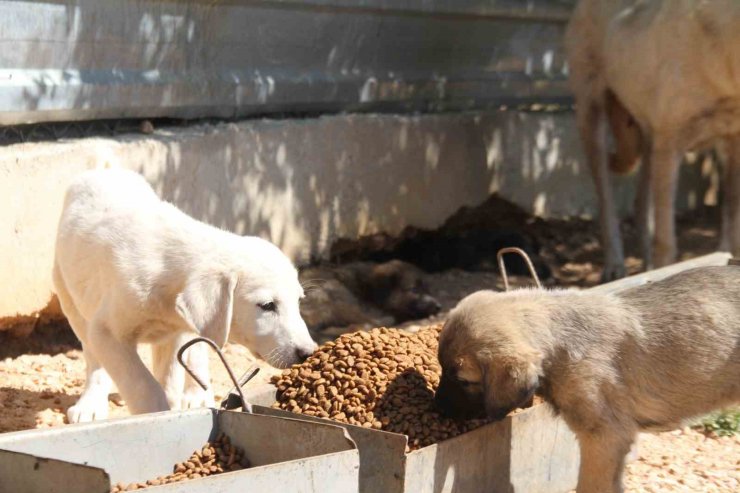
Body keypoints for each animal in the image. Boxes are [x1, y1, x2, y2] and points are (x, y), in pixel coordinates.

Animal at [53, 167, 316, 420]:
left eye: (298, 301)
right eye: (267, 305)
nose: (307, 353)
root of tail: (103, 170)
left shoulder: (180, 327)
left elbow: (173, 374)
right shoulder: (107, 331)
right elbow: (142, 384)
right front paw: (157, 414)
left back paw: (197, 396)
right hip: (70, 298)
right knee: (93, 355)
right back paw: (90, 405)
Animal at [434, 266, 740, 492]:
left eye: (462, 380)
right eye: (441, 367)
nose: (437, 409)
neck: (559, 340)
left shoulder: (604, 437)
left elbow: (591, 484)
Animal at [568, 0, 740, 278]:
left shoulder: (733, 144)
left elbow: (733, 227)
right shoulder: (670, 145)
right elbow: (666, 241)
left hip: (649, 141)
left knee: (640, 205)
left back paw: (646, 268)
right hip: (591, 116)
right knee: (606, 206)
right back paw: (616, 266)